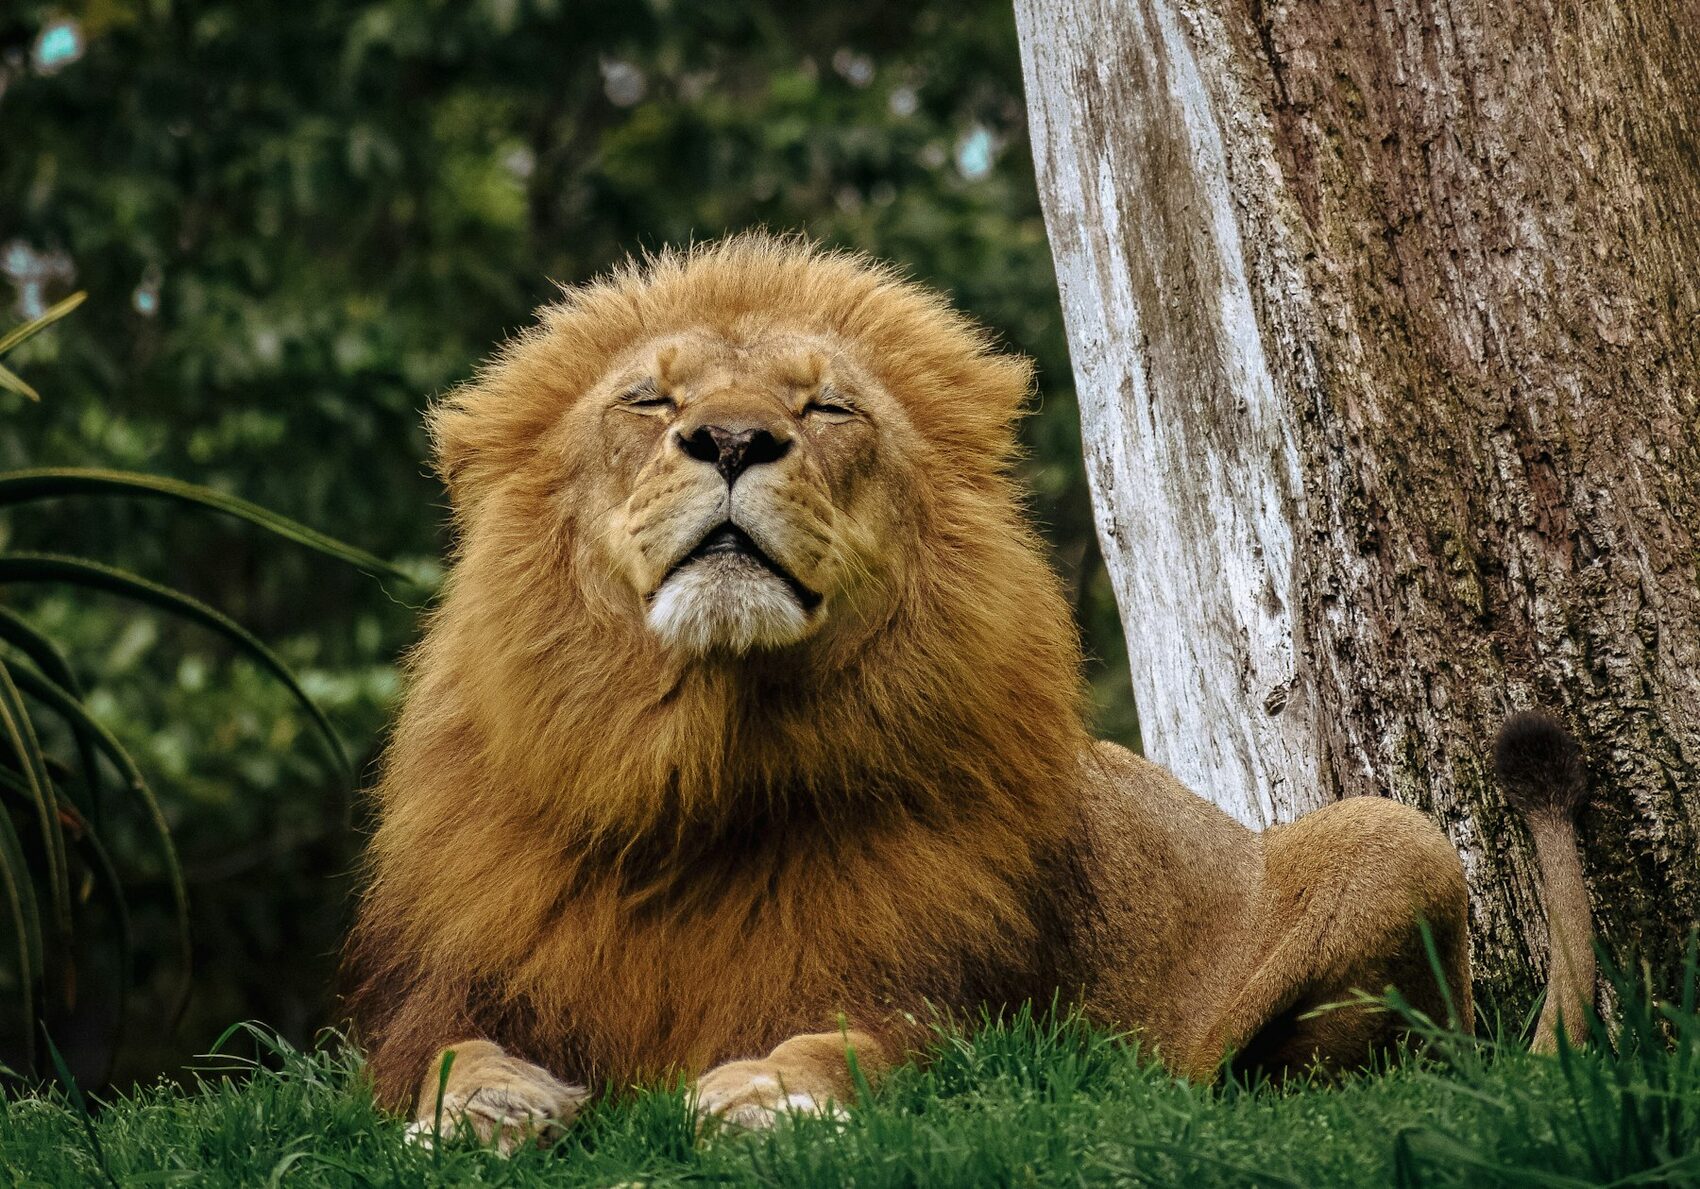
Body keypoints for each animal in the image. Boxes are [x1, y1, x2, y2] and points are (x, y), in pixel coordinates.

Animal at [343, 235, 1593, 1148]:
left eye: (826, 409)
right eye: (647, 401)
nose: (734, 439)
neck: (703, 771)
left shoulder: (942, 993)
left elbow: (860, 1044)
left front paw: (771, 1097)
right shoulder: (448, 987)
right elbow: (440, 1054)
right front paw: (490, 1108)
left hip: (1391, 840)